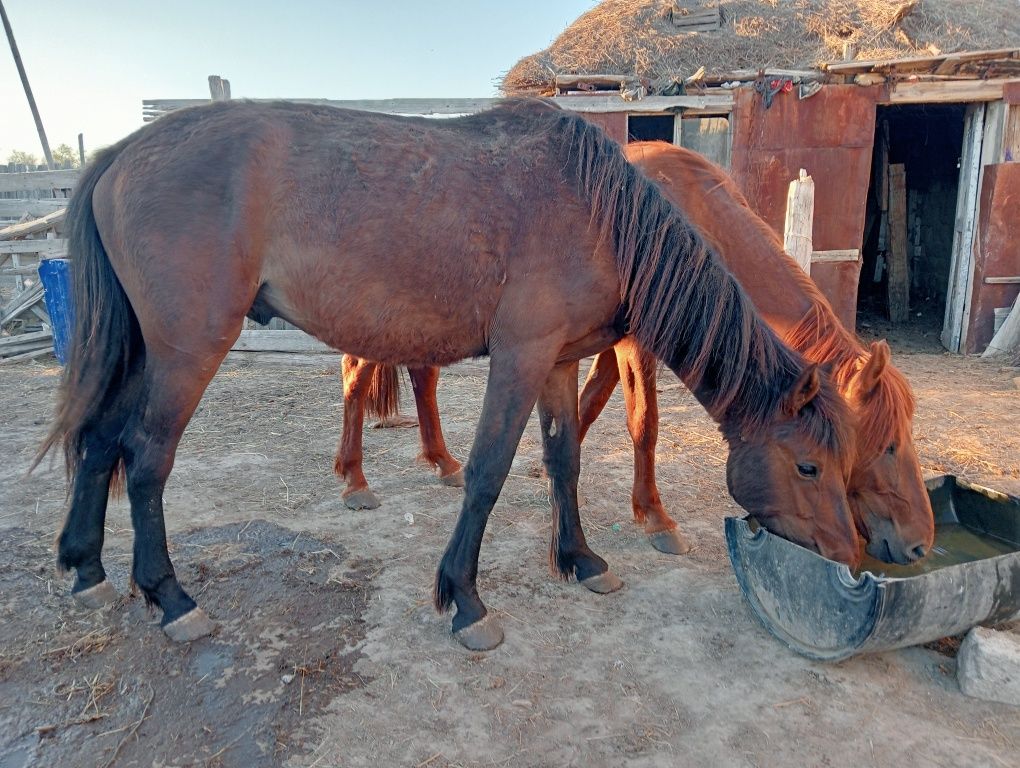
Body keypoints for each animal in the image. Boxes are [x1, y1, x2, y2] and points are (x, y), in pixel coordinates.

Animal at [35, 100, 856, 648]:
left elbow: (565, 458)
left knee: (101, 441)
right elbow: (488, 472)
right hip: (188, 350)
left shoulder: (559, 360)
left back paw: (85, 566)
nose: (852, 559)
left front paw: (580, 558)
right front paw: (464, 598)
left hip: (145, 351)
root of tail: (118, 152)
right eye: (809, 467)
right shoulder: (521, 357)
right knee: (145, 458)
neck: (599, 212)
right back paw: (171, 597)